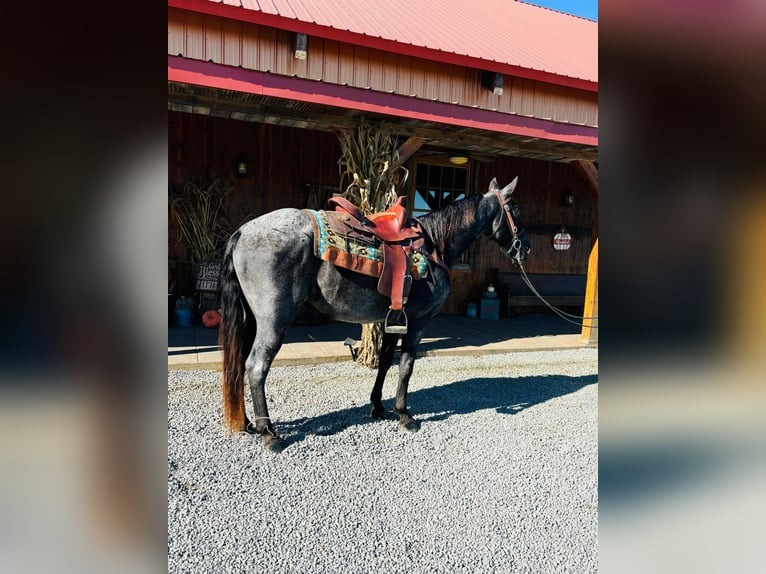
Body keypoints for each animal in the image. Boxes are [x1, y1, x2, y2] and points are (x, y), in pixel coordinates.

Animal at [219, 176, 532, 450]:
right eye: (515, 211)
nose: (525, 248)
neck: (435, 246)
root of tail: (242, 232)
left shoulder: (392, 320)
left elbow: (384, 361)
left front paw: (378, 406)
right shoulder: (418, 322)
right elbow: (406, 366)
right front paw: (404, 414)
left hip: (252, 320)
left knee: (240, 365)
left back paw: (248, 423)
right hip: (274, 321)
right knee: (256, 367)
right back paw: (269, 433)